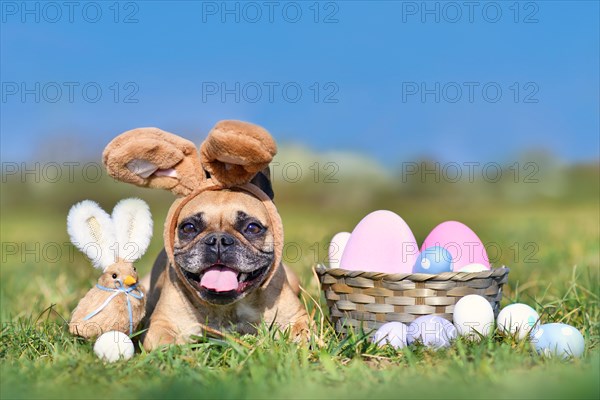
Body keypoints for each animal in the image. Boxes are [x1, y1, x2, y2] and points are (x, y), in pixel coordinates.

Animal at [102, 120, 308, 348]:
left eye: (253, 228)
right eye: (188, 228)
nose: (218, 240)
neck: (227, 308)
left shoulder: (295, 317)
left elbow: (302, 334)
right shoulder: (161, 324)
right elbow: (165, 343)